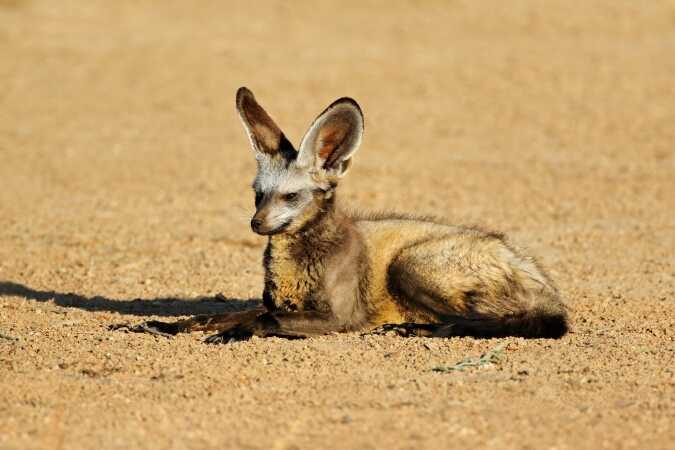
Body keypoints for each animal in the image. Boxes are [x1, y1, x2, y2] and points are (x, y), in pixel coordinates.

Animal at [119, 87, 568, 343]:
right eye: (258, 195)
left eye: (291, 196)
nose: (256, 224)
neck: (299, 266)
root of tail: (543, 279)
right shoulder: (279, 302)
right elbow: (214, 314)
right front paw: (162, 326)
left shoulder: (341, 316)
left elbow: (265, 321)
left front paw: (236, 334)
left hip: (410, 265)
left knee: (509, 321)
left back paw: (421, 328)